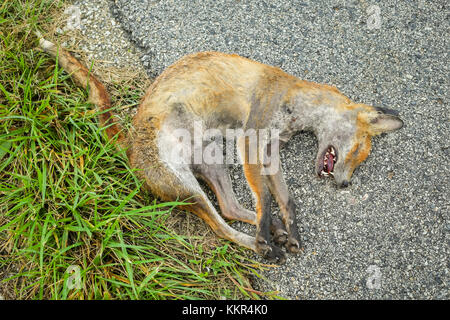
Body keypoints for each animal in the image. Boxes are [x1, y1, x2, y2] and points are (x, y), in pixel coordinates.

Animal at [37, 33, 404, 262]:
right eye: (356, 153)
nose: (345, 183)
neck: (293, 100)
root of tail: (127, 142)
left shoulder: (270, 151)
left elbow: (284, 201)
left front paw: (291, 230)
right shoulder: (251, 140)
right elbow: (266, 197)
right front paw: (269, 234)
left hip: (213, 164)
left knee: (230, 208)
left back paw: (272, 232)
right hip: (186, 187)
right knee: (221, 227)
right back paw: (261, 245)